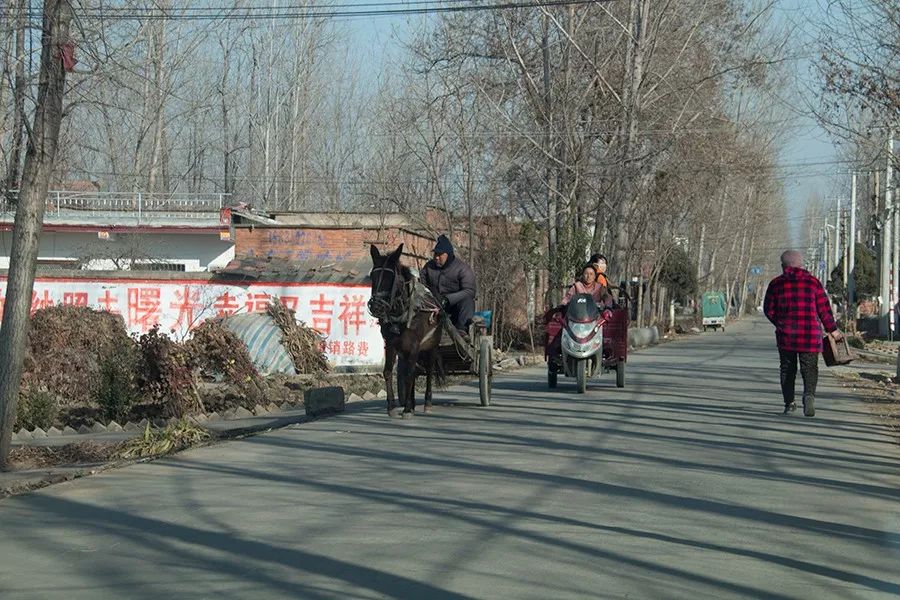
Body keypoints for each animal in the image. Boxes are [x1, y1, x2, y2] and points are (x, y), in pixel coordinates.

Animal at [368, 244, 444, 418]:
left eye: (391, 278)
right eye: (372, 276)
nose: (376, 307)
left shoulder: (415, 345)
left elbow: (409, 374)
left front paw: (407, 409)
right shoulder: (390, 344)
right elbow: (388, 372)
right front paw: (392, 407)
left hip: (432, 345)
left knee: (428, 370)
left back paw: (427, 402)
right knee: (414, 370)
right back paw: (413, 403)